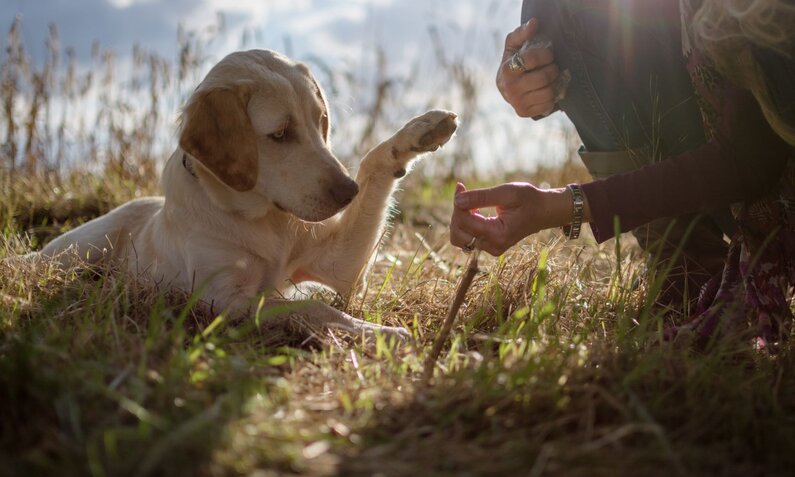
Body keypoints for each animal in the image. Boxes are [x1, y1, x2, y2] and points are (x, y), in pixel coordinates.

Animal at [38, 49, 460, 338]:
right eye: (280, 134)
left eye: (320, 121)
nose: (348, 193)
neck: (262, 219)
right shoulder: (223, 299)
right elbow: (314, 307)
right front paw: (379, 332)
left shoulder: (341, 263)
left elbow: (374, 163)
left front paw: (419, 132)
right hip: (78, 250)